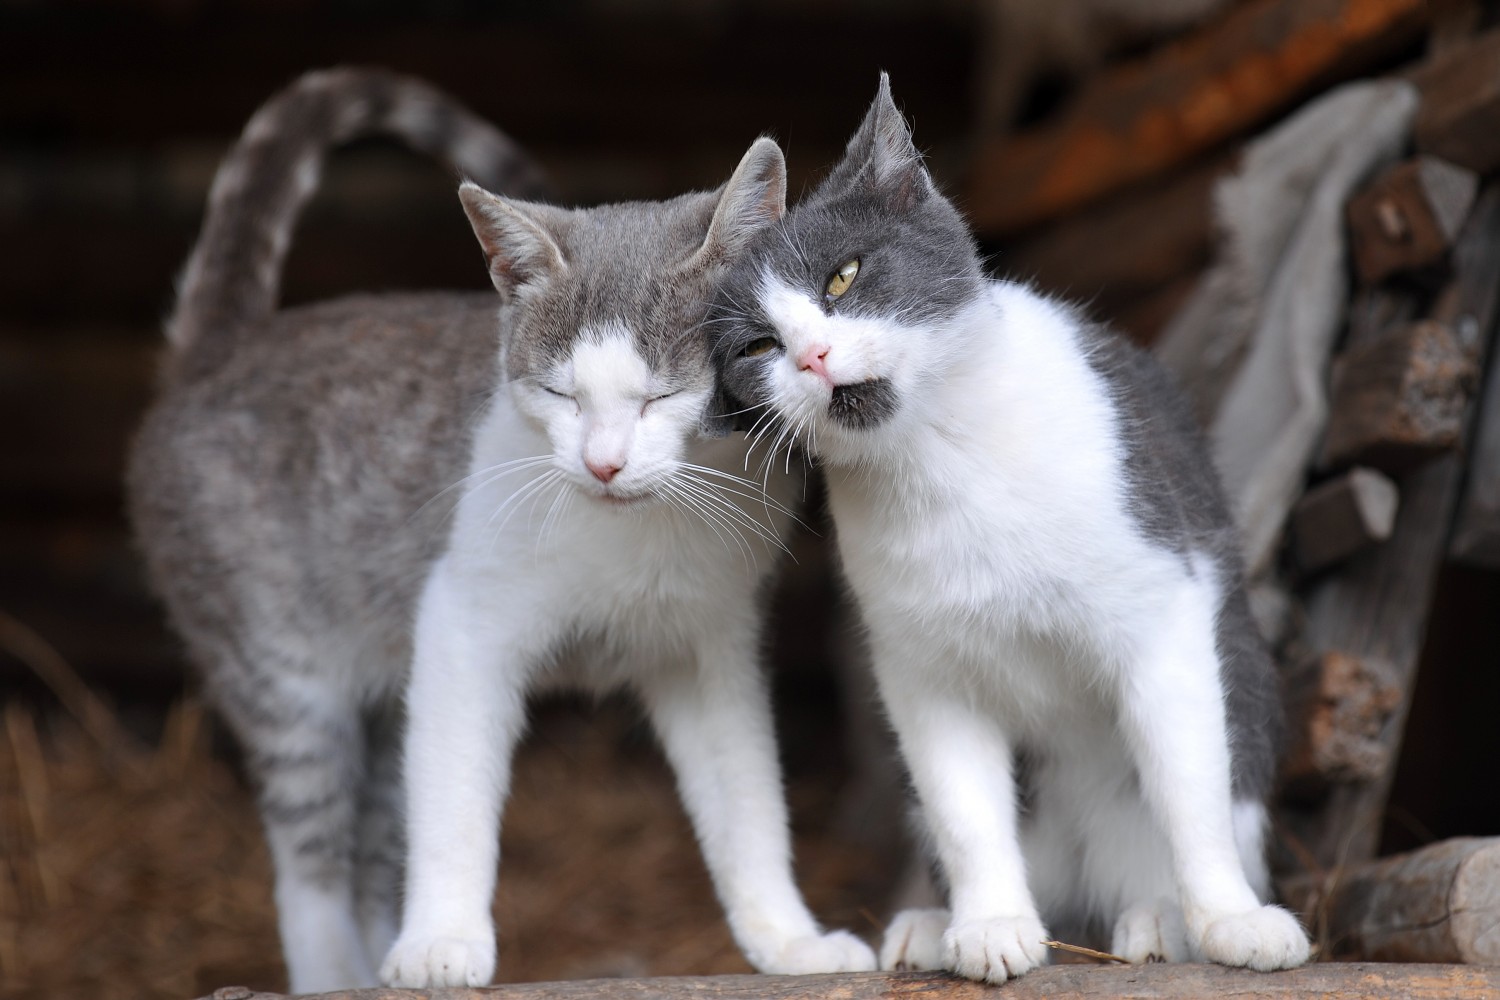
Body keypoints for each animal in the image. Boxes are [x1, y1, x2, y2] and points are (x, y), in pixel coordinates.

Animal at [135, 68, 876, 995]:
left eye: (663, 396)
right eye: (559, 393)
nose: (603, 463)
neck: (636, 531)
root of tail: (218, 351)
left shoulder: (709, 648)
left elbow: (746, 802)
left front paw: (790, 941)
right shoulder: (460, 623)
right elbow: (453, 794)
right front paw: (441, 941)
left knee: (373, 836)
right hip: (280, 671)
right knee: (311, 855)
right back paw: (335, 970)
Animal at [708, 74, 1308, 983]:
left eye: (844, 277)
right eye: (755, 348)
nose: (811, 357)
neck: (943, 454)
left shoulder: (1164, 616)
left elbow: (1191, 789)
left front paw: (1230, 920)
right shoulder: (920, 670)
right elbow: (964, 808)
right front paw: (989, 923)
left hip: (1241, 670)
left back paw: (1158, 919)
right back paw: (930, 923)